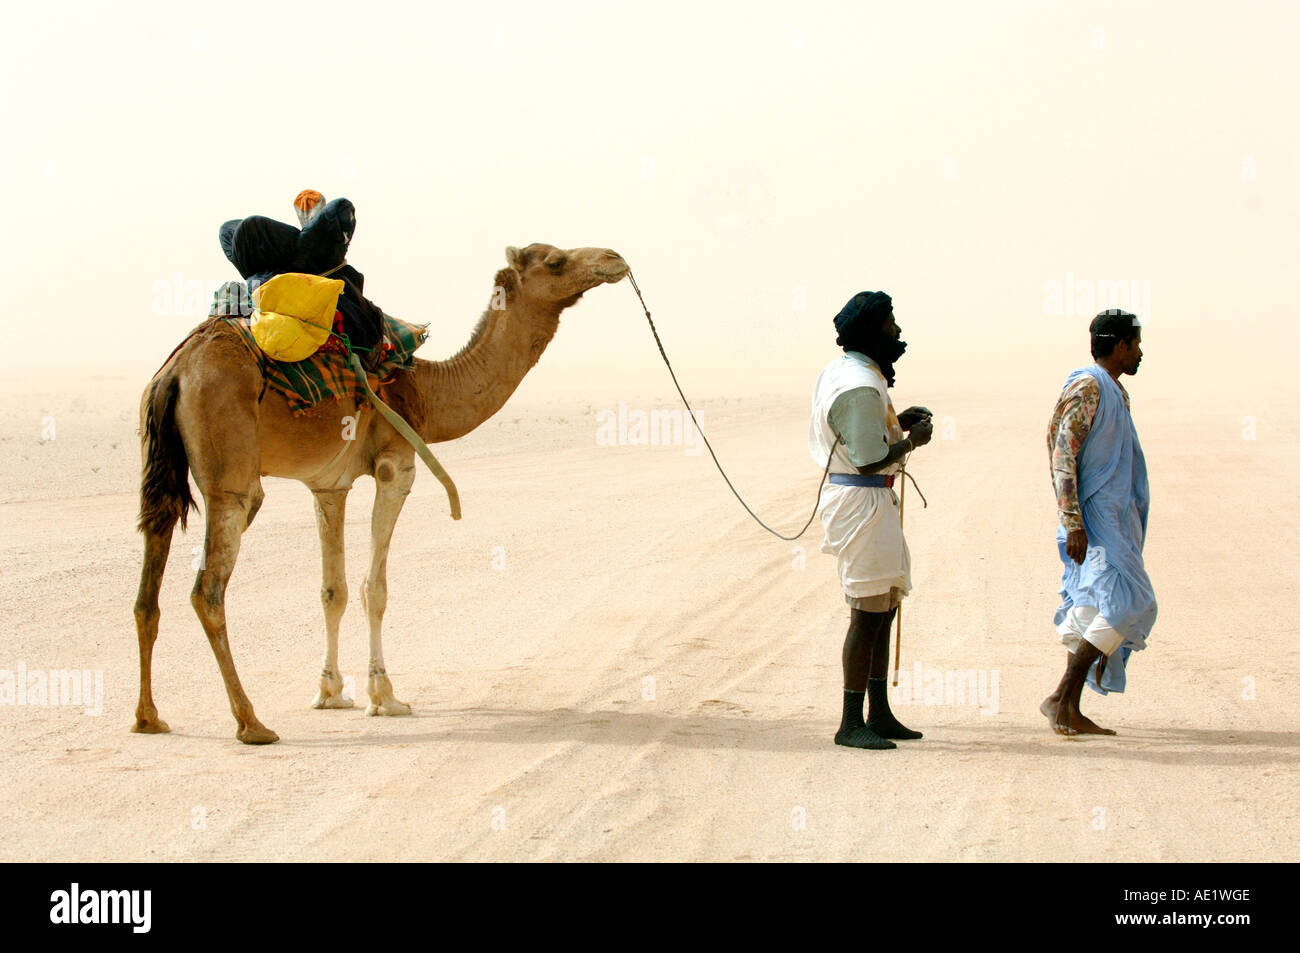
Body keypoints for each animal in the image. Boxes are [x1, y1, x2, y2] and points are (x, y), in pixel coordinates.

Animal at [133, 243, 629, 743]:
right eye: (555, 261)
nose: (614, 258)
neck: (426, 391)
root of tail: (174, 374)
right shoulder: (397, 466)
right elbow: (375, 588)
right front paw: (385, 697)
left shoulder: (328, 486)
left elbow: (333, 590)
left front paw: (331, 693)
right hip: (231, 475)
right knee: (208, 589)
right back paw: (251, 722)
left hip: (162, 468)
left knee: (149, 580)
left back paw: (149, 717)